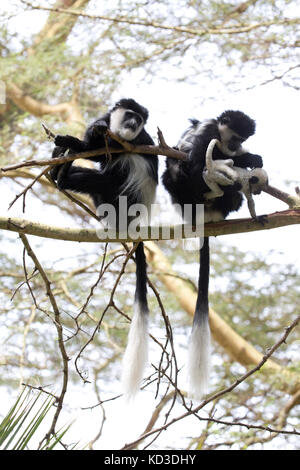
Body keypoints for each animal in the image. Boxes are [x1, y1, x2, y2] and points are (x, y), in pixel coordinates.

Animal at [50, 98, 158, 396]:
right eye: (130, 115)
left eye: (139, 121)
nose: (132, 124)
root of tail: (132, 222)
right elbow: (95, 139)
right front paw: (85, 135)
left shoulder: (134, 142)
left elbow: (105, 154)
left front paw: (70, 141)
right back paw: (58, 172)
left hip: (121, 196)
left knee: (107, 174)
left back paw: (63, 174)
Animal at [163, 110, 266, 400]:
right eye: (236, 136)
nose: (235, 146)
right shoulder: (208, 132)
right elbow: (196, 161)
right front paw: (245, 161)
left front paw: (249, 159)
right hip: (181, 191)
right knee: (179, 169)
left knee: (233, 197)